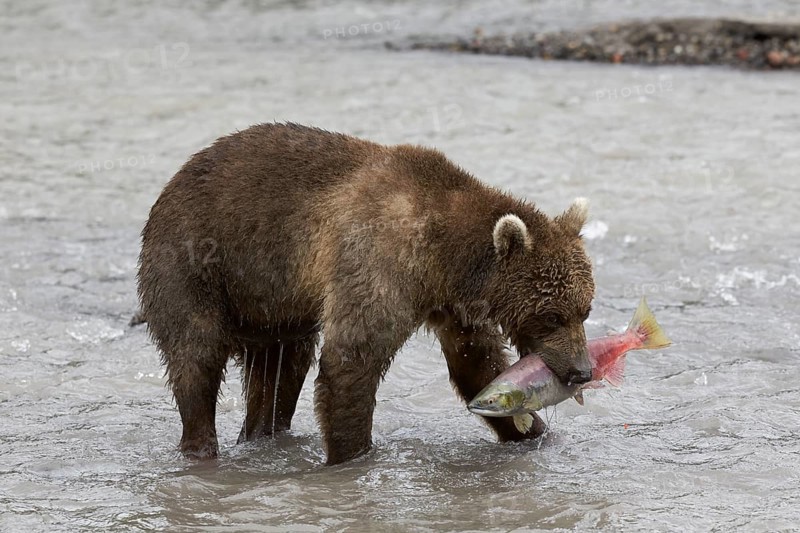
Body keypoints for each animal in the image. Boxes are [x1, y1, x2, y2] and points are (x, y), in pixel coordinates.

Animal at [137, 123, 595, 465]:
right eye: (552, 315)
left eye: (584, 310)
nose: (582, 370)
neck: (443, 257)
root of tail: (172, 181)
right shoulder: (378, 259)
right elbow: (352, 356)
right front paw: (350, 454)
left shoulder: (453, 302)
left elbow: (476, 361)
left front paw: (532, 431)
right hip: (196, 262)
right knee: (196, 355)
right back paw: (201, 446)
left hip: (275, 308)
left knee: (280, 371)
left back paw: (264, 433)